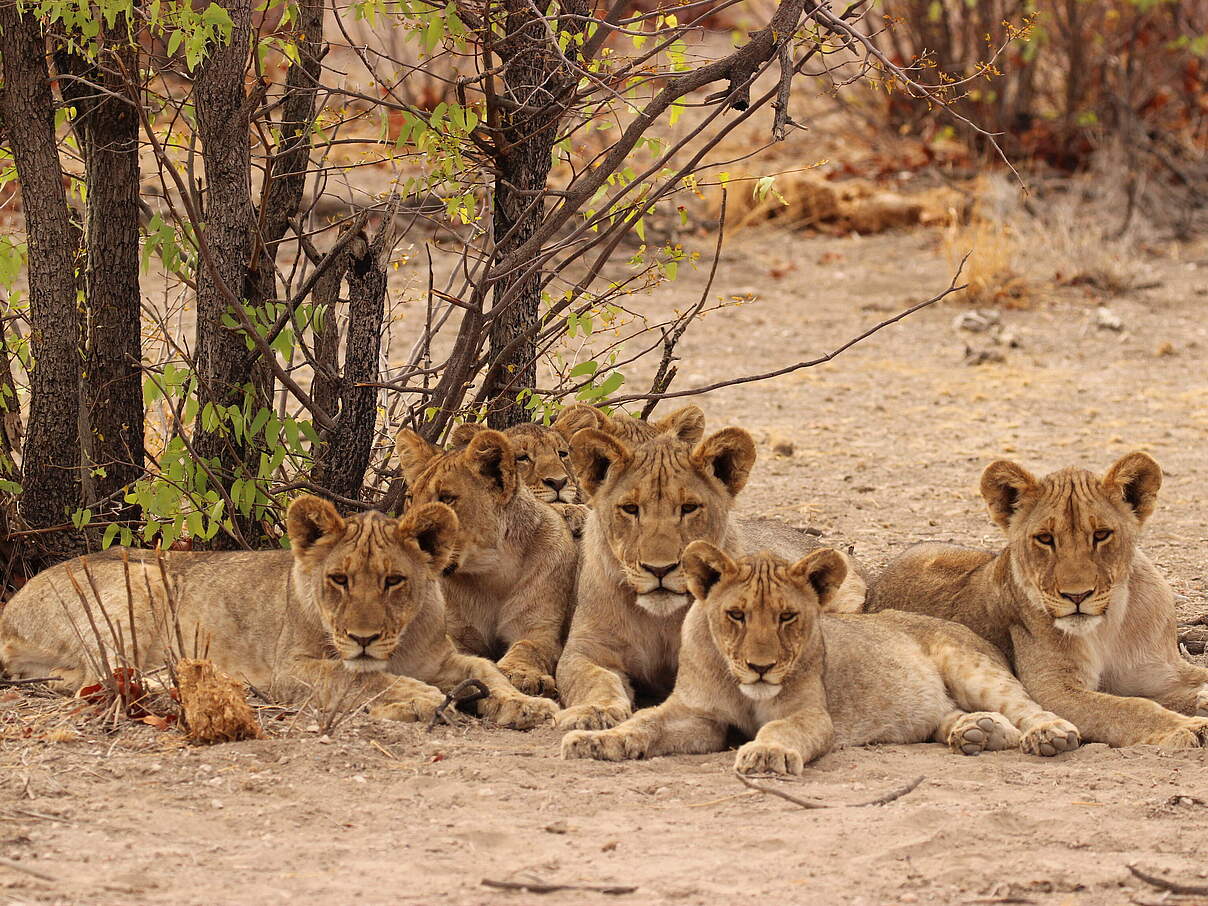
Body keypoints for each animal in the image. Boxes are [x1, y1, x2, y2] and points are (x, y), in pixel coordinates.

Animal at [0, 497, 553, 729]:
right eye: (339, 579)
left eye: (394, 581)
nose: (364, 638)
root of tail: (10, 608)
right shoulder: (293, 667)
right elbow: (359, 677)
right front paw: (416, 698)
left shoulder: (441, 658)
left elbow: (488, 670)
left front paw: (525, 705)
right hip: (145, 579)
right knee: (104, 677)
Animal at [396, 425, 579, 695]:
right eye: (410, 498)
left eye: (446, 498)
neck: (490, 572)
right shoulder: (454, 633)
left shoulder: (539, 629)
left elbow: (529, 648)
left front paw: (522, 674)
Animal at [553, 422, 864, 734]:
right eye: (630, 508)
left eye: (689, 507)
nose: (659, 569)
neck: (658, 620)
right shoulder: (586, 648)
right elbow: (592, 678)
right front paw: (595, 711)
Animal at [560, 543, 1082, 777]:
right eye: (736, 615)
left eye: (788, 617)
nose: (761, 667)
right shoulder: (698, 715)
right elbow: (644, 722)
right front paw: (596, 740)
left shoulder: (811, 714)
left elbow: (781, 729)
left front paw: (767, 753)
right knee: (963, 718)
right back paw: (974, 732)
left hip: (972, 667)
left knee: (1026, 708)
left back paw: (1049, 735)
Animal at [869, 454, 1208, 753]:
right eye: (1045, 538)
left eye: (1101, 534)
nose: (1076, 595)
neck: (1108, 625)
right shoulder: (1053, 691)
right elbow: (1132, 707)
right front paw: (1188, 728)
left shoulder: (1161, 673)